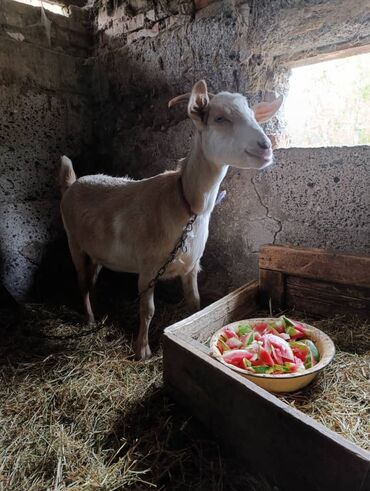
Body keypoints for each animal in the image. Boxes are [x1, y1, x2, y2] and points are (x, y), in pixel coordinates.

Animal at [59, 80, 282, 358]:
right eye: (220, 118)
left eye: (253, 115)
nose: (266, 147)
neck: (188, 205)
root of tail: (72, 183)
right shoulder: (148, 270)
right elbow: (148, 311)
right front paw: (142, 350)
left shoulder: (192, 266)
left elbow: (195, 304)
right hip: (74, 243)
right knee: (81, 281)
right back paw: (89, 319)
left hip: (99, 250)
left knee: (91, 280)